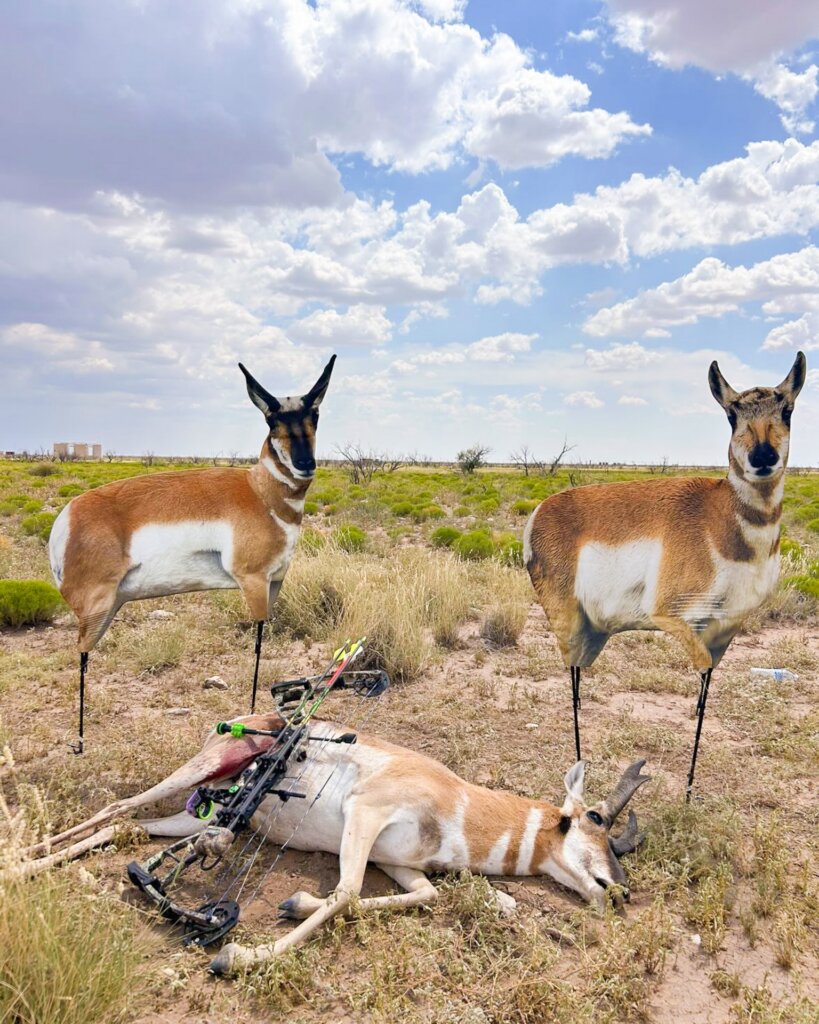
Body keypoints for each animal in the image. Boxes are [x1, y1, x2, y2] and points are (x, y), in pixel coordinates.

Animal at [13, 712, 649, 975]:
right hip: (200, 773)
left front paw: (296, 902)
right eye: (594, 819)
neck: (460, 800)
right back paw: (18, 863)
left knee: (128, 830)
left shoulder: (403, 868)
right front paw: (237, 956)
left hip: (209, 821)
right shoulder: (364, 812)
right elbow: (345, 891)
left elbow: (424, 897)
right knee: (118, 808)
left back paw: (30, 868)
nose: (619, 893)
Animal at [48, 356, 336, 752]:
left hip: (110, 607)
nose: (305, 464)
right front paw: (250, 718)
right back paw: (80, 743)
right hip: (96, 608)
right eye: (271, 419)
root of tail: (67, 515)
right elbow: (258, 649)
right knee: (81, 656)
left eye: (316, 414)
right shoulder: (253, 582)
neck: (259, 491)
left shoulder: (275, 583)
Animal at [524, 352, 807, 795]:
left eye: (787, 410)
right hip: (568, 624)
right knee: (572, 682)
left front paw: (690, 791)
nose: (763, 457)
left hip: (593, 631)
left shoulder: (725, 632)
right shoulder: (672, 617)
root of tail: (540, 512)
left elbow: (705, 693)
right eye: (732, 414)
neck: (720, 520)